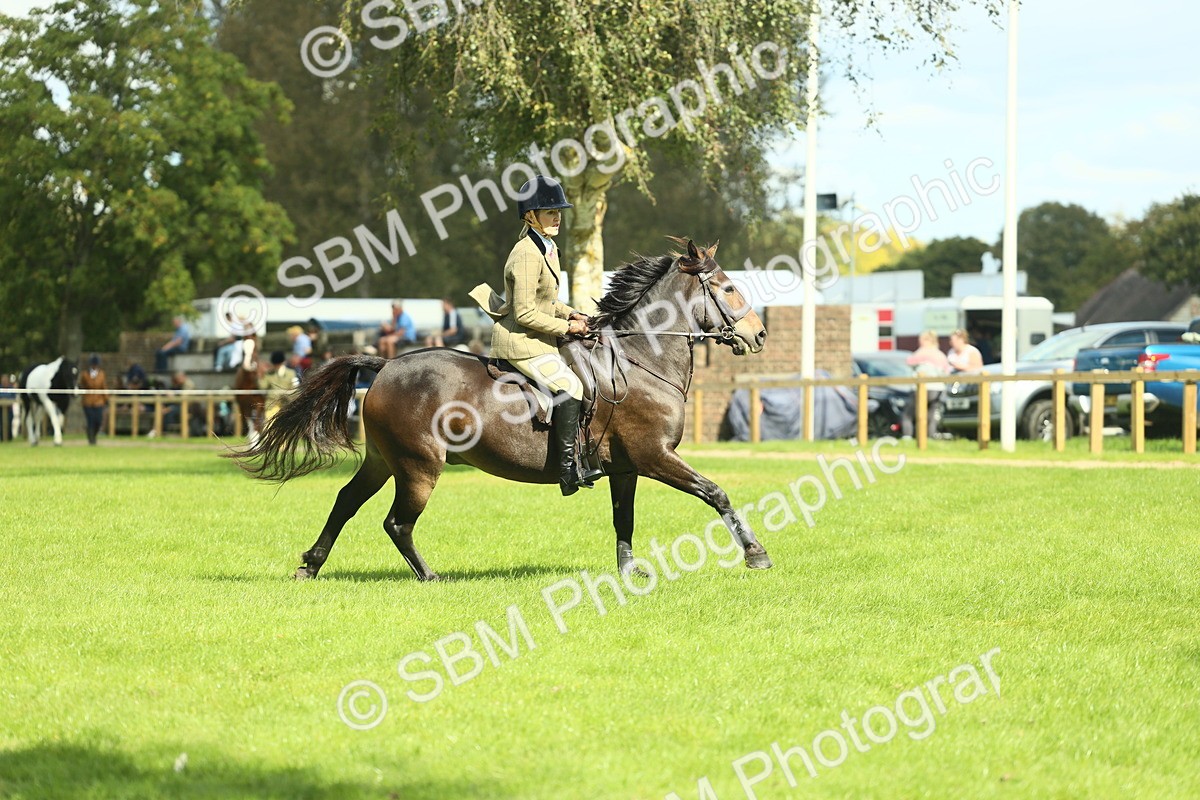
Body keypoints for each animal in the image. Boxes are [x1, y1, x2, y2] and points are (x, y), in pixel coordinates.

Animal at [231, 238, 772, 581]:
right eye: (727, 288)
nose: (760, 334)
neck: (642, 359)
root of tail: (386, 364)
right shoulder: (655, 457)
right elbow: (716, 493)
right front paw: (756, 554)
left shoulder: (626, 466)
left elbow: (625, 518)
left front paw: (629, 571)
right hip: (419, 465)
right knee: (397, 523)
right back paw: (430, 576)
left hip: (383, 460)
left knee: (346, 501)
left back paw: (310, 564)